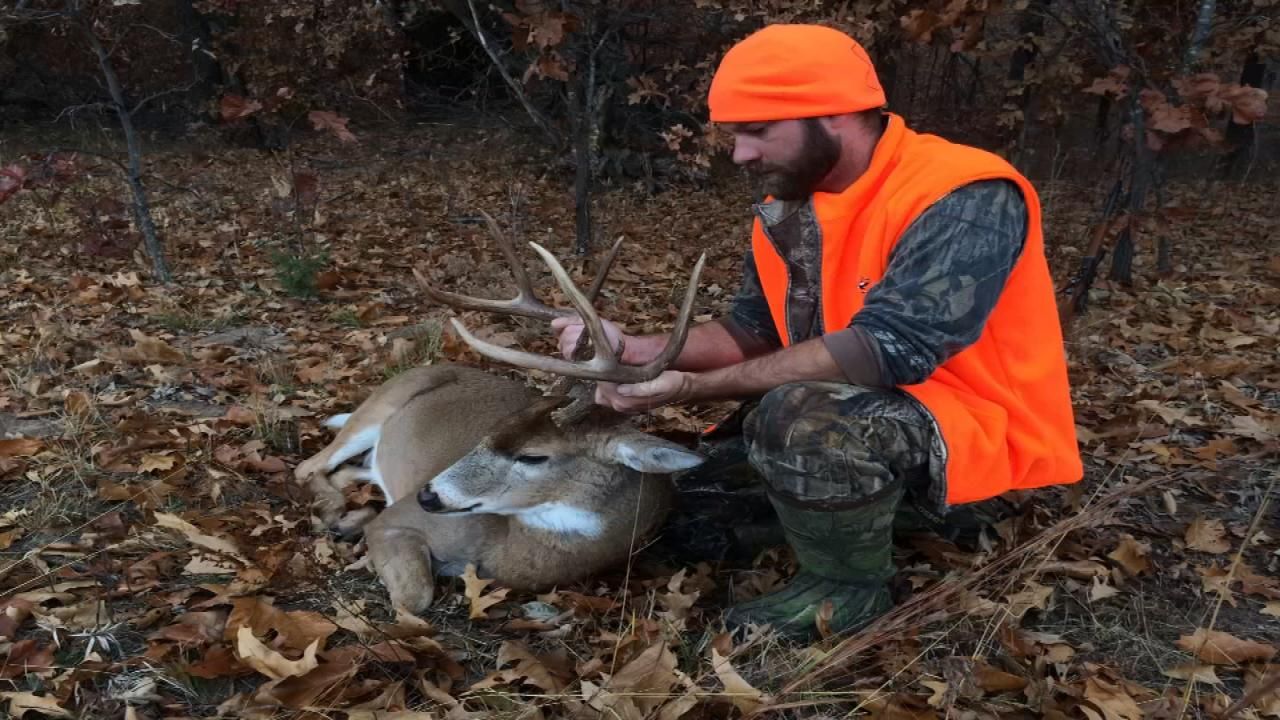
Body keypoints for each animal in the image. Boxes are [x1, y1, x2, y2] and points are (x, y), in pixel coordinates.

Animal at [293, 214, 708, 612]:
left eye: (533, 456)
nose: (428, 495)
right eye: (493, 429)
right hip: (376, 408)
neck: (506, 550)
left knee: (345, 471)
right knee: (308, 467)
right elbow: (416, 597)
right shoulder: (396, 519)